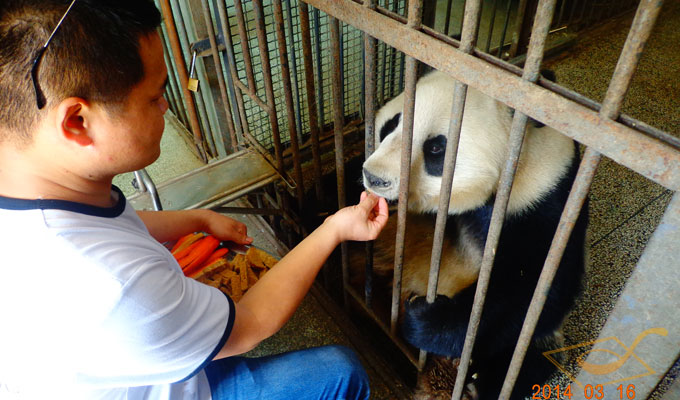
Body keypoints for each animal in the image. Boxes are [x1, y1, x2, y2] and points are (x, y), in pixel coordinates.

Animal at [358, 72, 588, 400]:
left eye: (436, 148)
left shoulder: (545, 198)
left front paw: (426, 319)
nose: (375, 178)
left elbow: (535, 288)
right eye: (391, 125)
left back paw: (474, 382)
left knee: (529, 352)